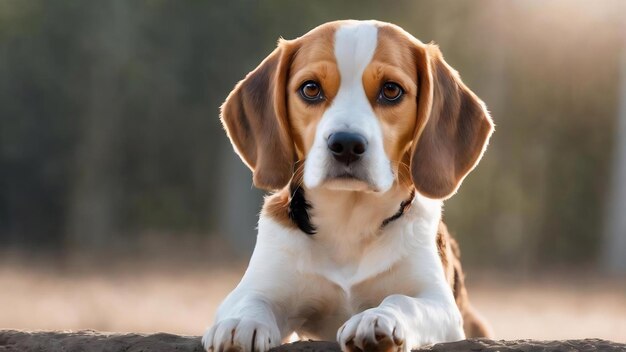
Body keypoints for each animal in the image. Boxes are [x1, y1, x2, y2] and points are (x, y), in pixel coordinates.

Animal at [204, 20, 492, 352]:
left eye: (391, 90)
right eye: (310, 89)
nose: (346, 144)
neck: (348, 222)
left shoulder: (440, 305)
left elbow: (403, 300)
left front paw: (375, 318)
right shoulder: (259, 285)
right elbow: (250, 301)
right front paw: (240, 323)